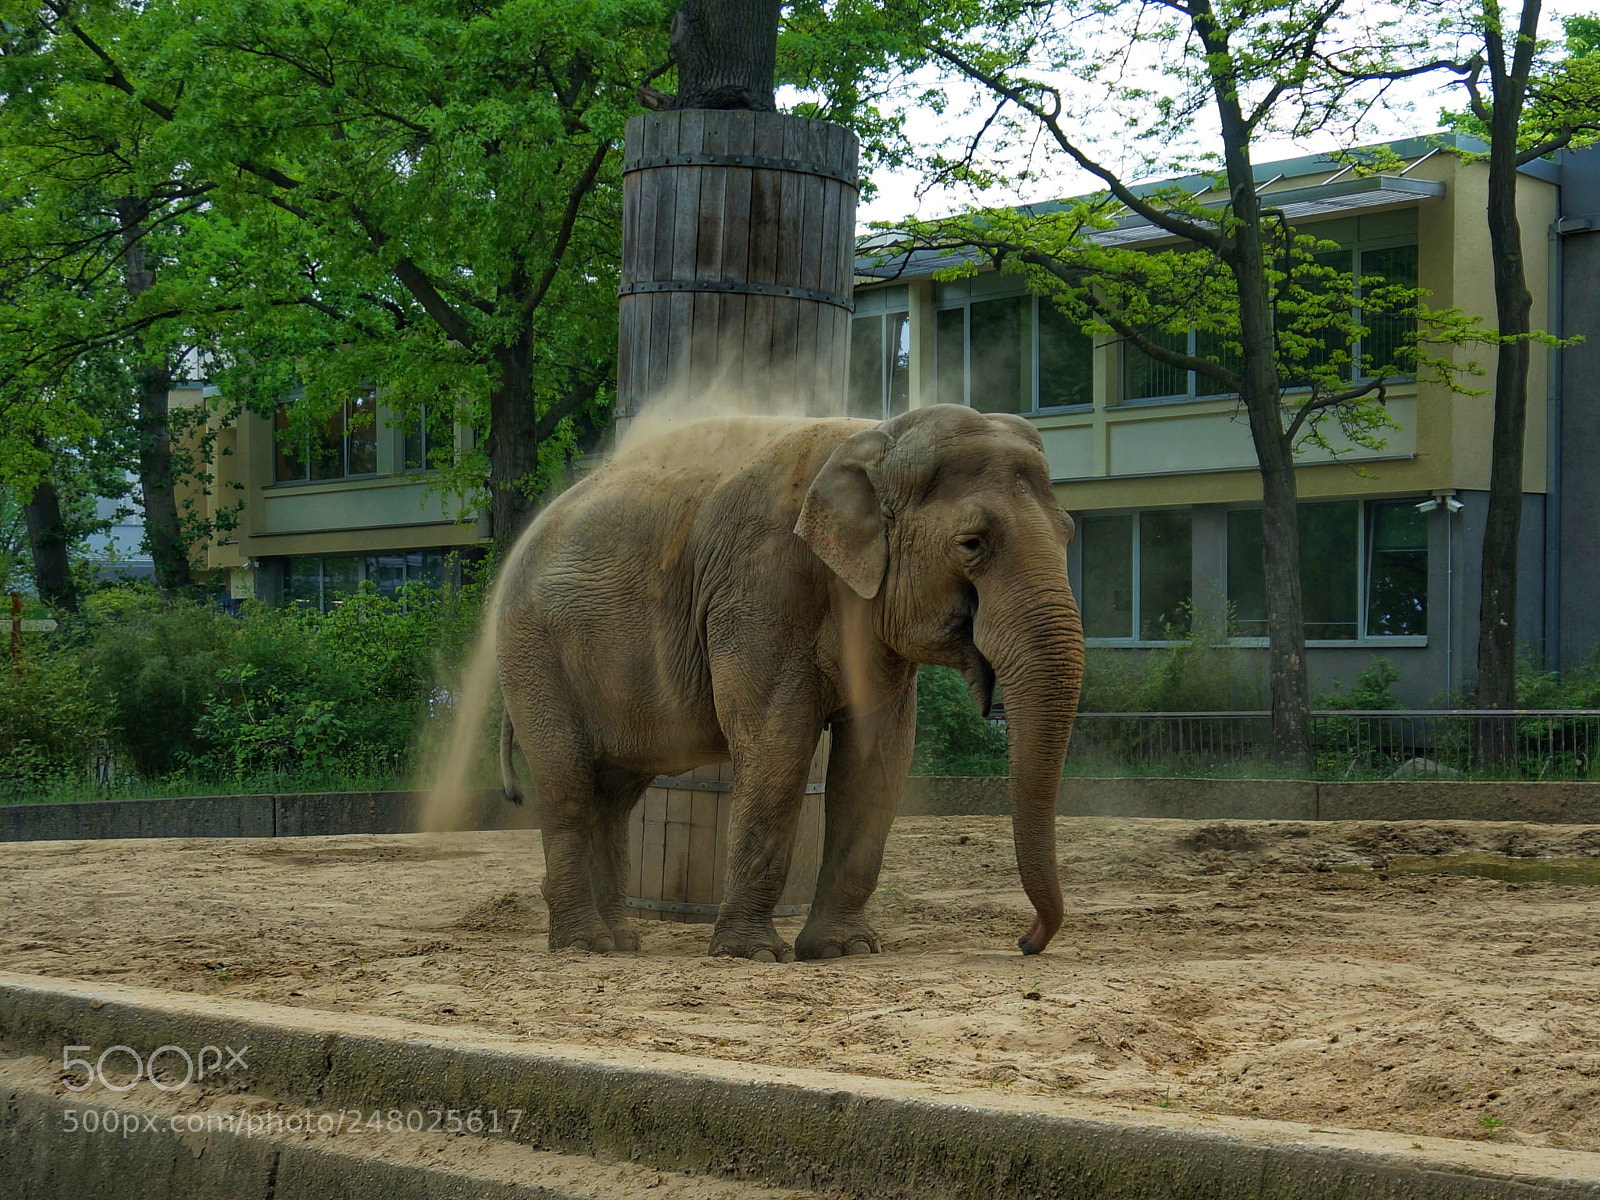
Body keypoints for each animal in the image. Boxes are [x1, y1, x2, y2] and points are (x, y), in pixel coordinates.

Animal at [496, 402, 1084, 962]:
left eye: (1071, 533)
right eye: (971, 544)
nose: (1024, 941)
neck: (878, 436)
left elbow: (877, 763)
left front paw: (845, 950)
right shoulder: (761, 586)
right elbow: (778, 746)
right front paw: (754, 954)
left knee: (615, 796)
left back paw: (621, 941)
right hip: (532, 655)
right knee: (569, 785)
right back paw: (585, 944)